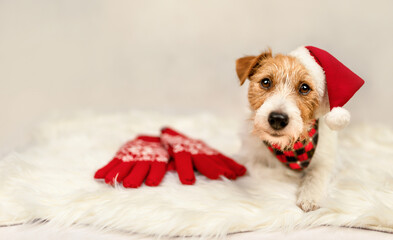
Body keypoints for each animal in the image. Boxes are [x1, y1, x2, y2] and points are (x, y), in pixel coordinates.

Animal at [234, 47, 344, 212]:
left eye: (304, 88)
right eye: (266, 82)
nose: (278, 119)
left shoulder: (328, 160)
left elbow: (317, 175)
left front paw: (309, 197)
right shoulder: (247, 157)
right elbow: (261, 169)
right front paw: (290, 175)